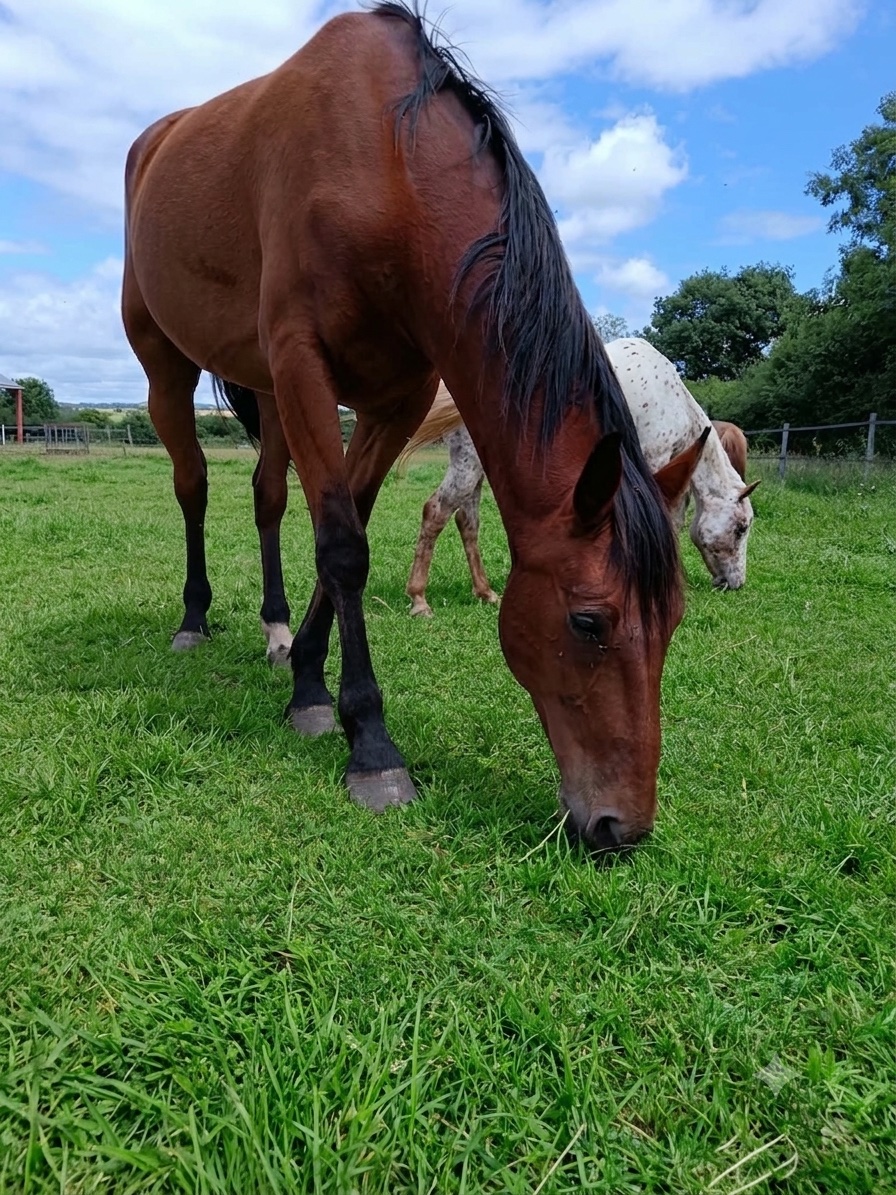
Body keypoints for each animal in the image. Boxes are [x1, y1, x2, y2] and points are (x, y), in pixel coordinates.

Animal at [122, 2, 707, 850]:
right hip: (166, 362)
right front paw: (371, 745)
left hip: (264, 387)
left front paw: (308, 682)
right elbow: (342, 547)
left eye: (673, 621)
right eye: (590, 621)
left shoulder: (393, 400)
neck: (386, 170)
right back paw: (194, 617)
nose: (622, 827)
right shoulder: (304, 364)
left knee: (267, 498)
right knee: (192, 485)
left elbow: (347, 531)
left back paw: (272, 632)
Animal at [398, 338, 759, 614]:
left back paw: (485, 593)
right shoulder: (653, 460)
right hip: (469, 462)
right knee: (436, 511)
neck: (671, 398)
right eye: (741, 528)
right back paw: (419, 600)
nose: (736, 583)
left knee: (466, 521)